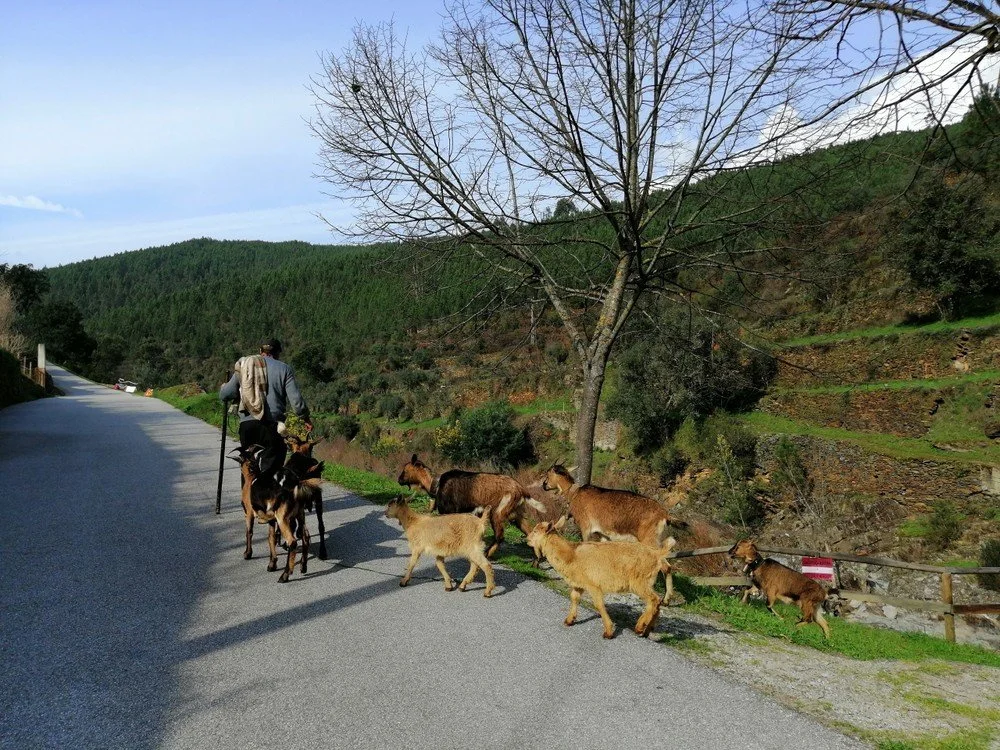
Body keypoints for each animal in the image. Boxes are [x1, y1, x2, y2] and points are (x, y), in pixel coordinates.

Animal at [230, 445, 320, 582]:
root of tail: (294, 486)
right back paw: (303, 567)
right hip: (299, 514)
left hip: (283, 518)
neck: (251, 477)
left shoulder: (249, 513)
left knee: (292, 541)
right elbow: (271, 538)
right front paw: (272, 564)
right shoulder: (272, 520)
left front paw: (247, 554)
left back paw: (285, 575)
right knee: (306, 537)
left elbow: (249, 532)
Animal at [385, 494, 514, 597]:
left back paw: (487, 592)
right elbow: (439, 564)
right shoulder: (439, 550)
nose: (385, 513)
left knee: (486, 565)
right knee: (475, 565)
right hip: (472, 548)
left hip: (472, 546)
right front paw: (448, 585)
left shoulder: (417, 547)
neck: (413, 522)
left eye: (390, 505)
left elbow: (411, 564)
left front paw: (403, 582)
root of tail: (481, 522)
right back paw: (463, 586)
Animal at [397, 454, 544, 558]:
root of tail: (520, 489)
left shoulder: (450, 511)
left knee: (500, 536)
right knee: (529, 532)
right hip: (516, 514)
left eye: (405, 470)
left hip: (498, 511)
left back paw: (487, 554)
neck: (436, 484)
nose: (399, 480)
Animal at [527, 517, 676, 639]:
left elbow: (599, 605)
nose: (527, 539)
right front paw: (569, 620)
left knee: (654, 600)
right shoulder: (578, 584)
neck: (571, 555)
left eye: (535, 531)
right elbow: (574, 598)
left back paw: (639, 626)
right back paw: (647, 630)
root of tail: (657, 554)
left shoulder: (593, 585)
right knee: (656, 604)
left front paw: (608, 632)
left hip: (639, 582)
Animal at [542, 464, 685, 547]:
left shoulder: (585, 526)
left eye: (548, 474)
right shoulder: (603, 534)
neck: (575, 493)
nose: (544, 485)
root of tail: (665, 514)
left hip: (649, 540)